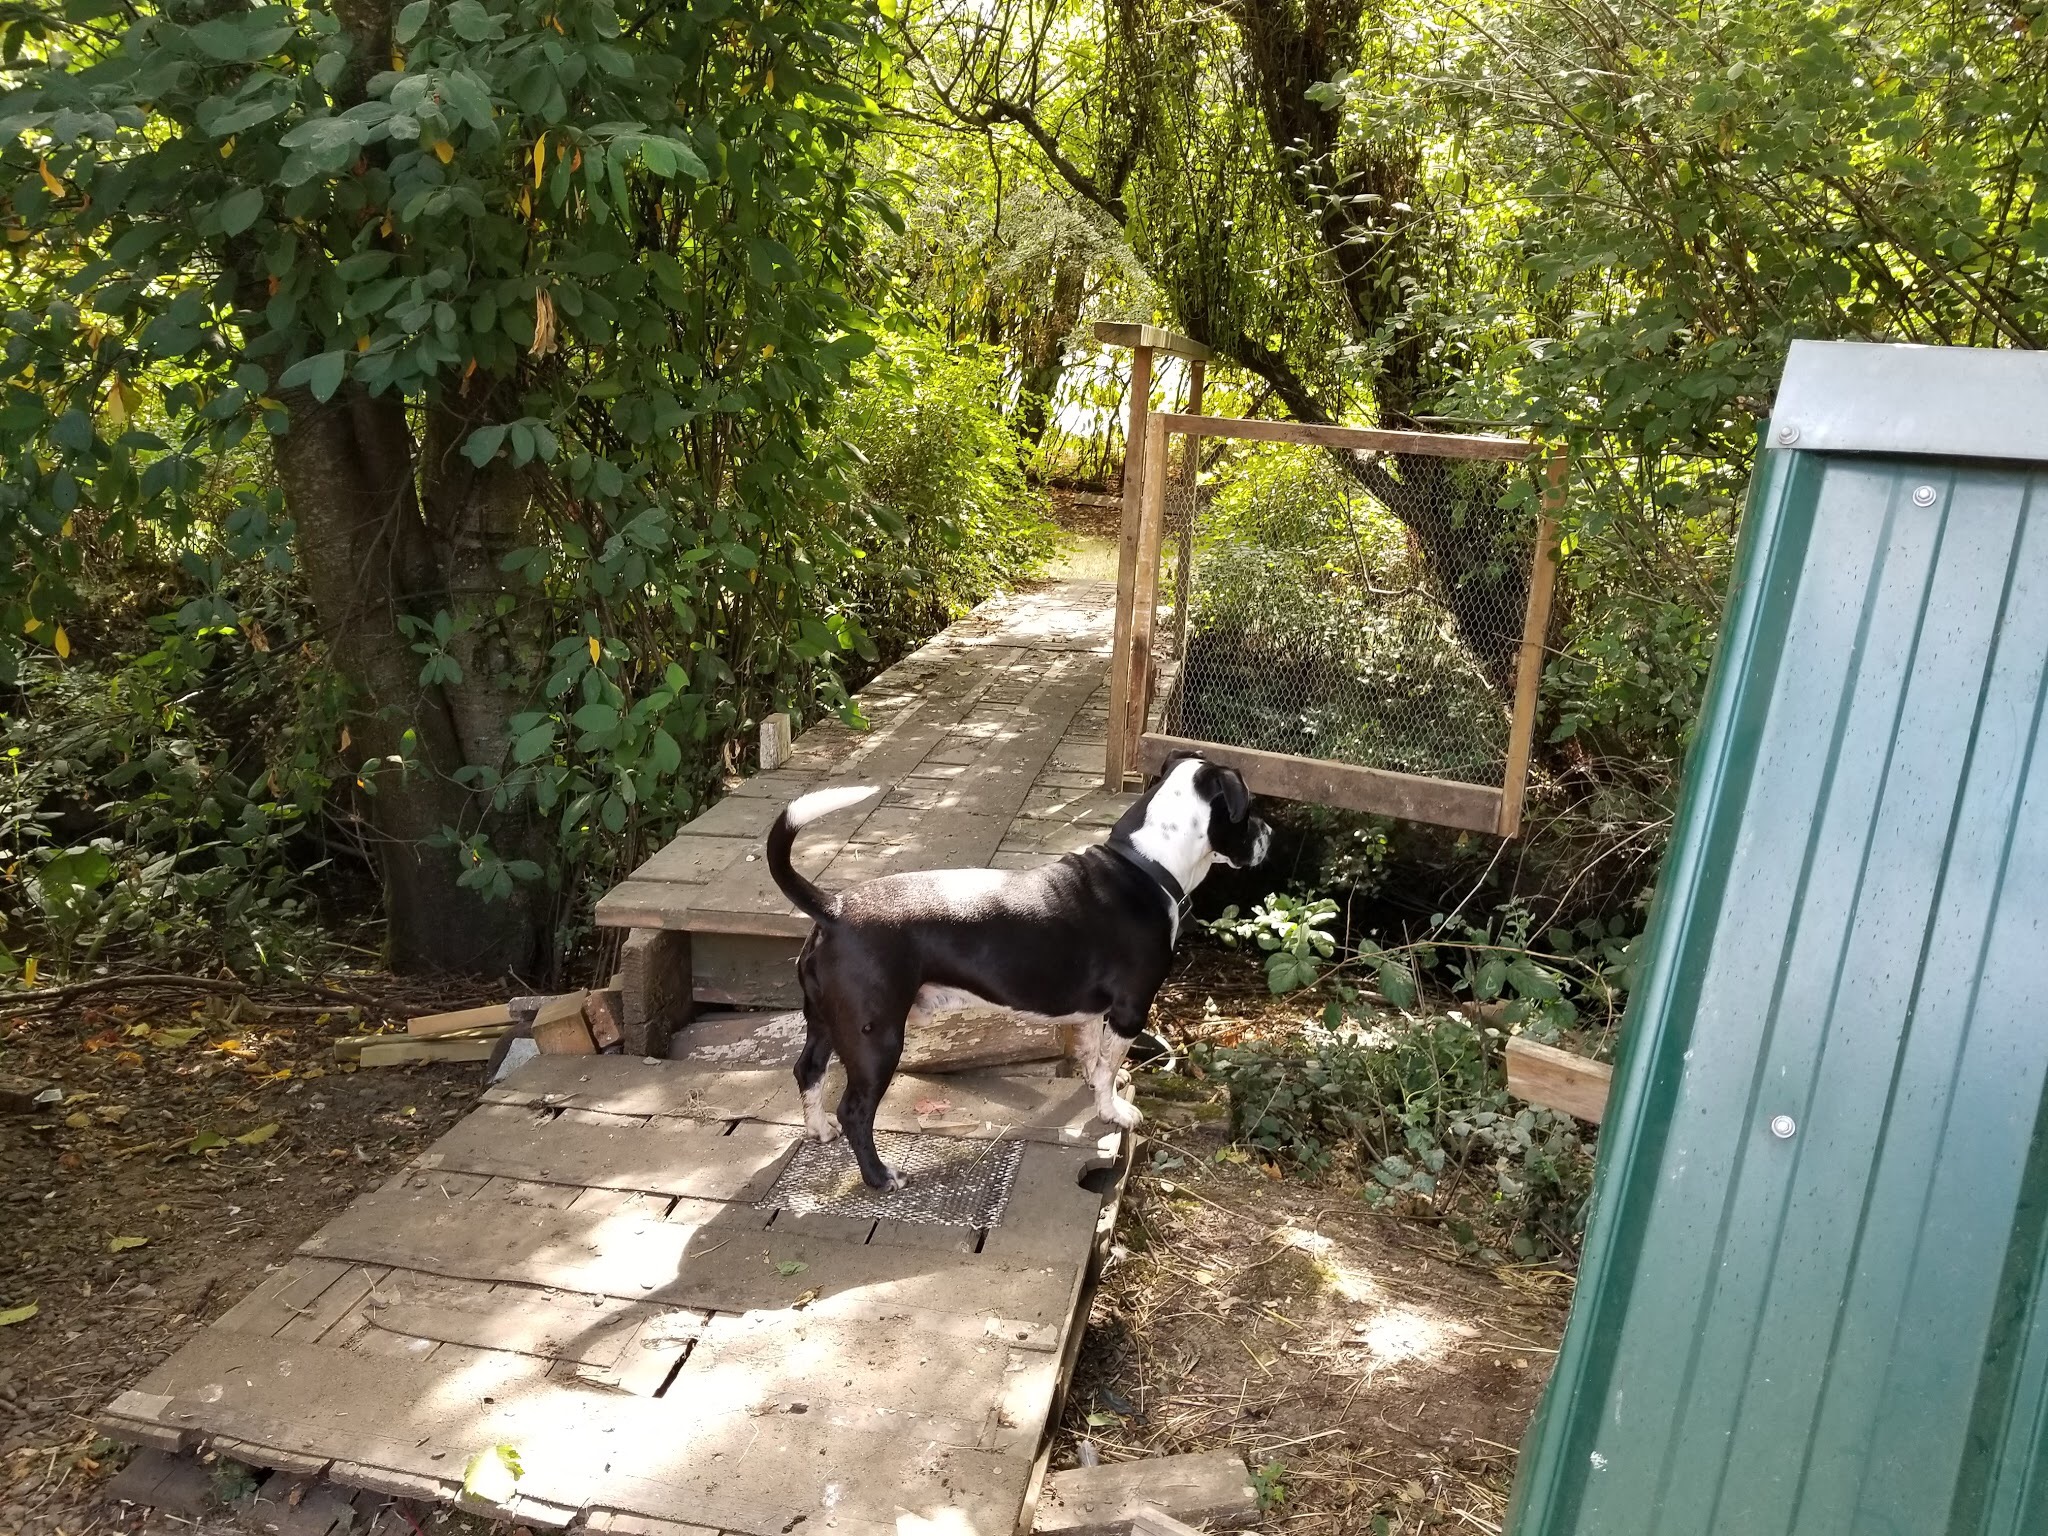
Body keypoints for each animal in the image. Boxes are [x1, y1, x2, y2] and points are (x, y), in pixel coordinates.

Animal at [764, 751, 1271, 1190]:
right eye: (1248, 811)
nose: (1270, 831)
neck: (1149, 863)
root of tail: (834, 907)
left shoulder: (1095, 1013)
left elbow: (1094, 1058)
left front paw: (1097, 1090)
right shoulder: (1131, 1008)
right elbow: (1109, 1064)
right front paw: (1114, 1112)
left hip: (825, 1022)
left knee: (807, 1071)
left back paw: (818, 1129)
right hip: (876, 1039)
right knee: (854, 1111)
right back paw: (879, 1177)